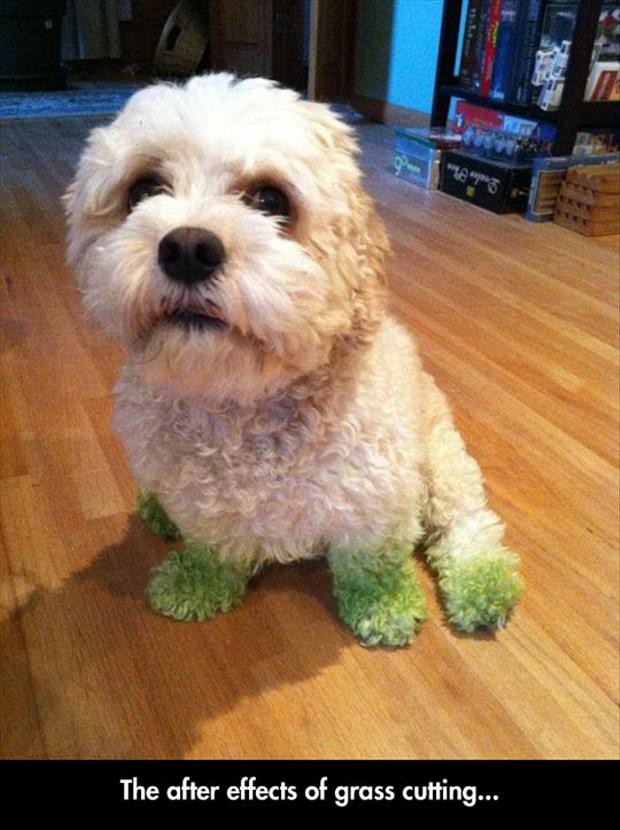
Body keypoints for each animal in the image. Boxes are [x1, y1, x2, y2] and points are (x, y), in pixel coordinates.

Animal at [64, 75, 524, 648]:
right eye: (144, 191)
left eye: (270, 199)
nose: (188, 248)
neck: (244, 407)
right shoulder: (203, 505)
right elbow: (212, 549)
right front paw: (197, 583)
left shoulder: (376, 499)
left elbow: (372, 566)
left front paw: (385, 609)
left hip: (443, 463)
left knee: (467, 524)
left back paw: (483, 583)